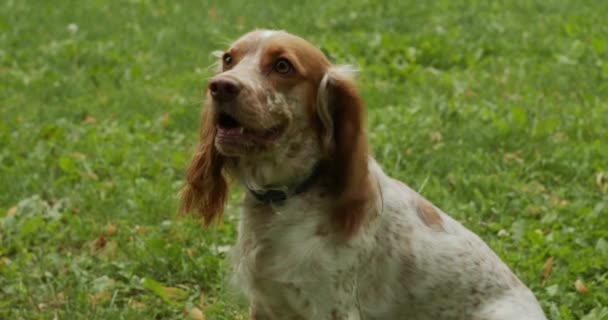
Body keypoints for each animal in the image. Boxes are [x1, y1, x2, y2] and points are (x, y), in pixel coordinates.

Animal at [179, 30, 548, 320]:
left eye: (283, 65)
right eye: (229, 59)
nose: (220, 87)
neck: (286, 198)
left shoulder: (332, 308)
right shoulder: (267, 305)